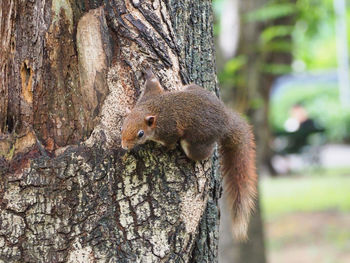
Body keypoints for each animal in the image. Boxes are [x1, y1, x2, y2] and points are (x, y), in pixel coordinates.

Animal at [121, 68, 258, 241]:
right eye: (123, 124)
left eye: (140, 134)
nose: (124, 146)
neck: (152, 109)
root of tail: (226, 122)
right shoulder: (150, 95)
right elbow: (154, 83)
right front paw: (148, 72)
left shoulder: (169, 131)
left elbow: (170, 144)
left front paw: (161, 150)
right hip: (192, 87)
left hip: (195, 144)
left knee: (202, 154)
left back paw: (187, 158)